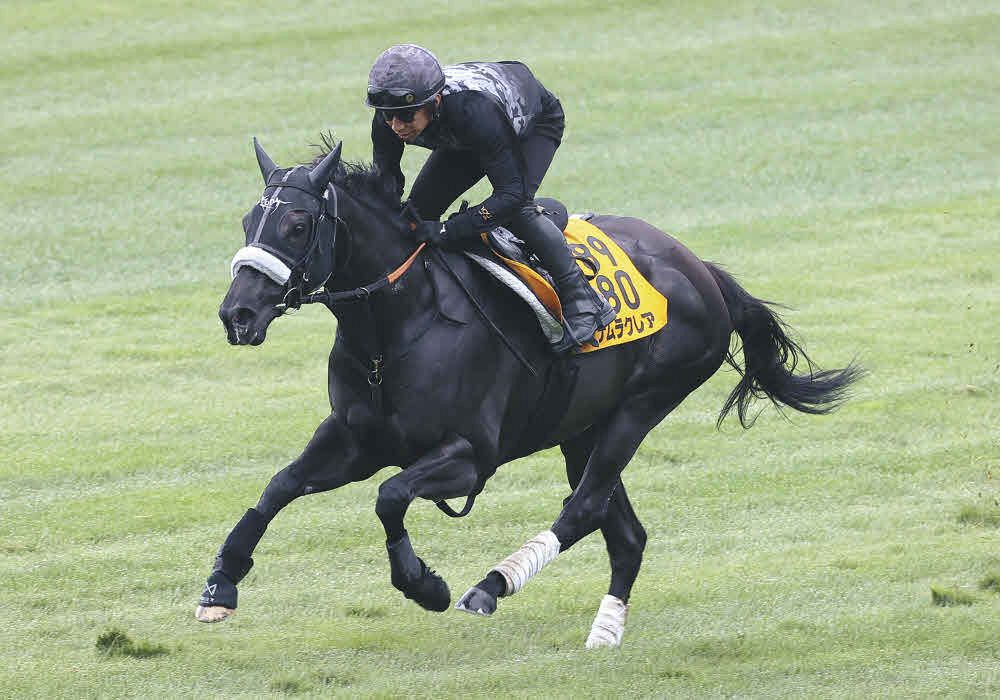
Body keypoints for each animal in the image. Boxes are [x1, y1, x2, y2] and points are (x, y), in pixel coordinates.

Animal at [196, 137, 861, 648]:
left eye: (297, 224)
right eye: (247, 222)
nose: (238, 314)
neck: (400, 325)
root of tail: (700, 268)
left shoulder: (472, 456)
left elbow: (389, 496)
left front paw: (424, 583)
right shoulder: (355, 439)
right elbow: (280, 485)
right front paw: (221, 583)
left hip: (640, 407)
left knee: (584, 507)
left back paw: (491, 586)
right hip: (582, 429)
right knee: (624, 534)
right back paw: (604, 632)